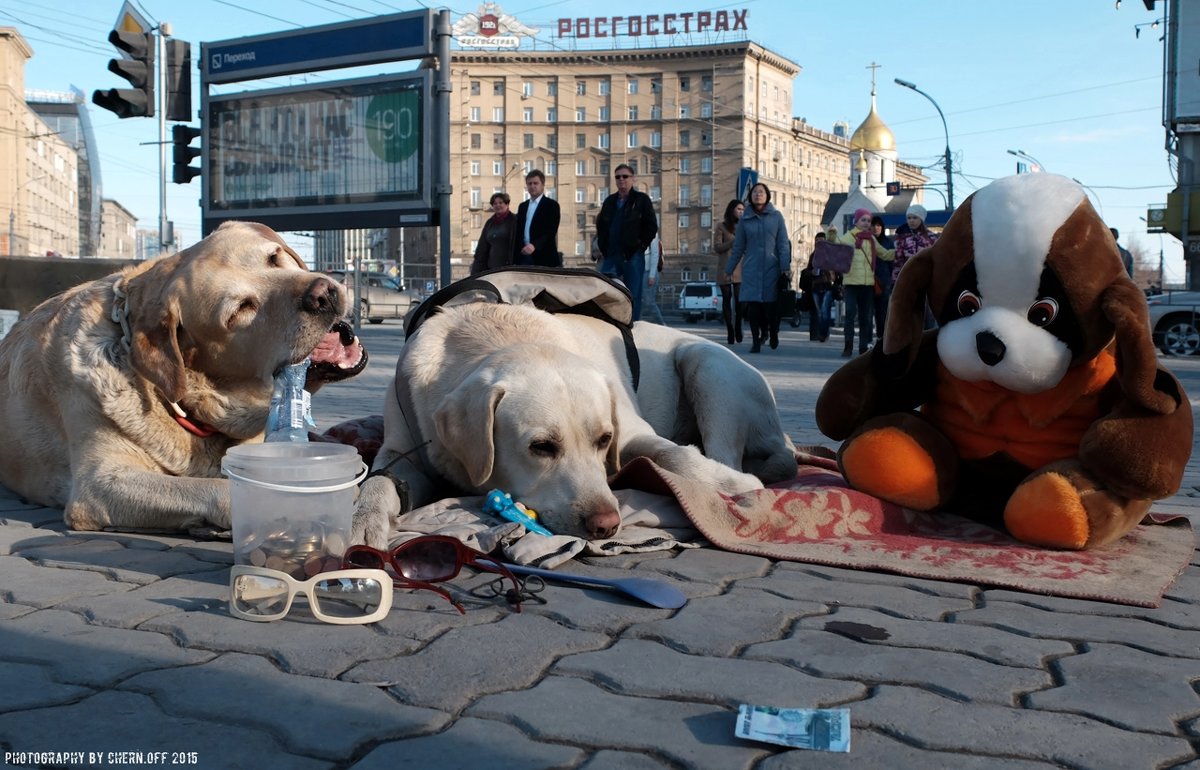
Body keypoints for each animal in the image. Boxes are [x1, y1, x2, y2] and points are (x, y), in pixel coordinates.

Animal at [350, 299, 792, 546]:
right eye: (541, 447)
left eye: (603, 440)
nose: (606, 525)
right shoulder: (408, 450)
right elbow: (379, 479)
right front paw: (362, 517)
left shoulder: (631, 432)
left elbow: (674, 455)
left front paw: (731, 485)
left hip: (706, 363)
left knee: (722, 449)